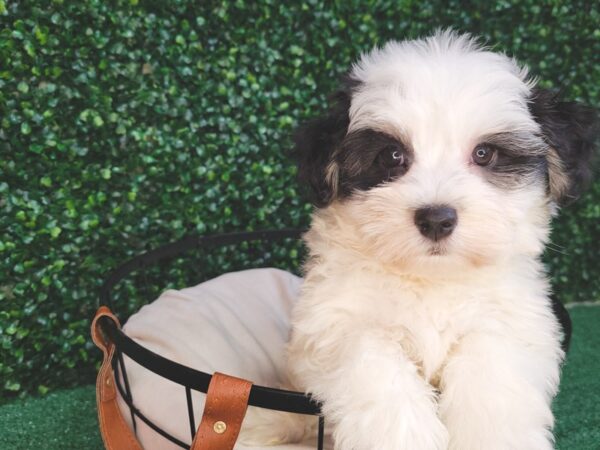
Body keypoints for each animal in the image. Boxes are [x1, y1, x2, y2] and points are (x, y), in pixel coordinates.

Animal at [241, 29, 596, 448]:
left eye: (485, 153)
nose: (437, 219)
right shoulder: (334, 322)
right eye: (392, 156)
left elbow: (490, 358)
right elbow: (371, 358)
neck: (431, 279)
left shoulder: (516, 322)